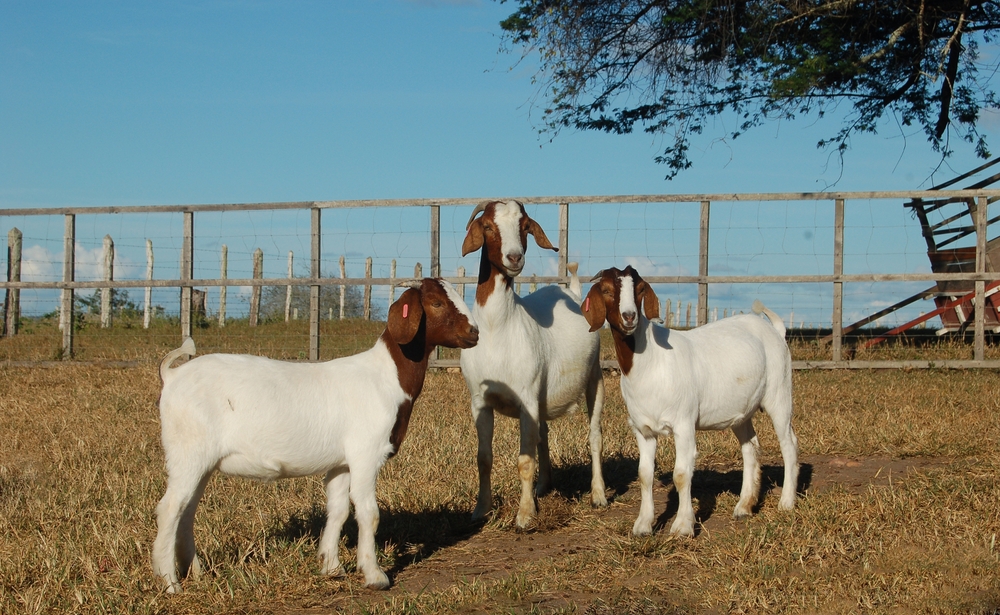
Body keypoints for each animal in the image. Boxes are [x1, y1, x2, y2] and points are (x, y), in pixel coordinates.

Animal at [152, 278, 478, 592]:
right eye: (435, 302)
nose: (474, 333)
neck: (387, 377)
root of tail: (172, 376)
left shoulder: (341, 463)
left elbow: (338, 510)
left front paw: (331, 566)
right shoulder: (365, 453)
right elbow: (368, 513)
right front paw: (375, 575)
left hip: (200, 461)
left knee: (187, 510)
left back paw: (195, 571)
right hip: (188, 452)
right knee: (170, 508)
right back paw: (169, 582)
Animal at [459, 199, 606, 528]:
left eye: (525, 226)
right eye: (487, 226)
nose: (514, 257)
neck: (498, 327)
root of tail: (571, 291)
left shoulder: (526, 395)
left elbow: (524, 461)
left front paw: (525, 515)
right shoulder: (479, 401)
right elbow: (483, 458)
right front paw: (481, 510)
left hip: (595, 377)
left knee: (594, 435)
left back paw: (599, 495)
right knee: (543, 434)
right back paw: (544, 485)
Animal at [583, 266, 798, 537]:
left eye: (640, 289)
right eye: (606, 290)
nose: (629, 317)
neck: (651, 361)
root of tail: (776, 331)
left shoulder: (684, 423)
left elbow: (682, 474)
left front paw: (683, 526)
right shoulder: (642, 429)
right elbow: (645, 474)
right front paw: (643, 525)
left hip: (779, 392)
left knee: (789, 443)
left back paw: (786, 502)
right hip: (742, 410)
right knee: (750, 447)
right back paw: (744, 506)